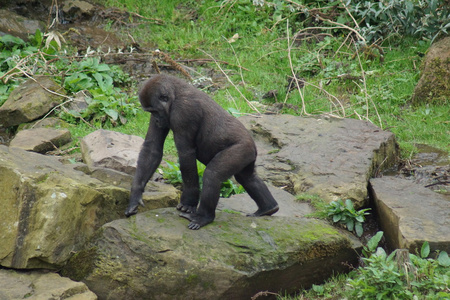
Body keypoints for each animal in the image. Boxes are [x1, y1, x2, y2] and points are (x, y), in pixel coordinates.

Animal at [124, 74, 278, 229]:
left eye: (155, 111)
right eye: (151, 112)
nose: (156, 120)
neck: (175, 94)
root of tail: (253, 145)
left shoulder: (184, 111)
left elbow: (186, 154)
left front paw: (188, 203)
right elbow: (152, 149)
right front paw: (135, 196)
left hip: (242, 148)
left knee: (213, 175)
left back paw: (204, 217)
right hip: (247, 154)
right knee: (247, 177)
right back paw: (268, 208)